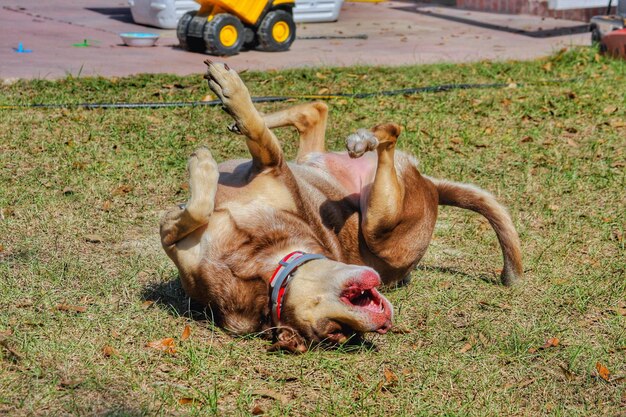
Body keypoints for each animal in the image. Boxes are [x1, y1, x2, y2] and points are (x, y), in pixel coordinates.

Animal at [158, 60, 520, 350]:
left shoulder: (270, 164)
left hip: (379, 228)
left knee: (389, 131)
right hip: (324, 171)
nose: (384, 323)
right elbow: (197, 209)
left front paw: (206, 157)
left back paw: (365, 138)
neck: (265, 267)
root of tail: (431, 186)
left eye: (337, 334)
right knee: (317, 112)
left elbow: (244, 146)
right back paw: (359, 137)